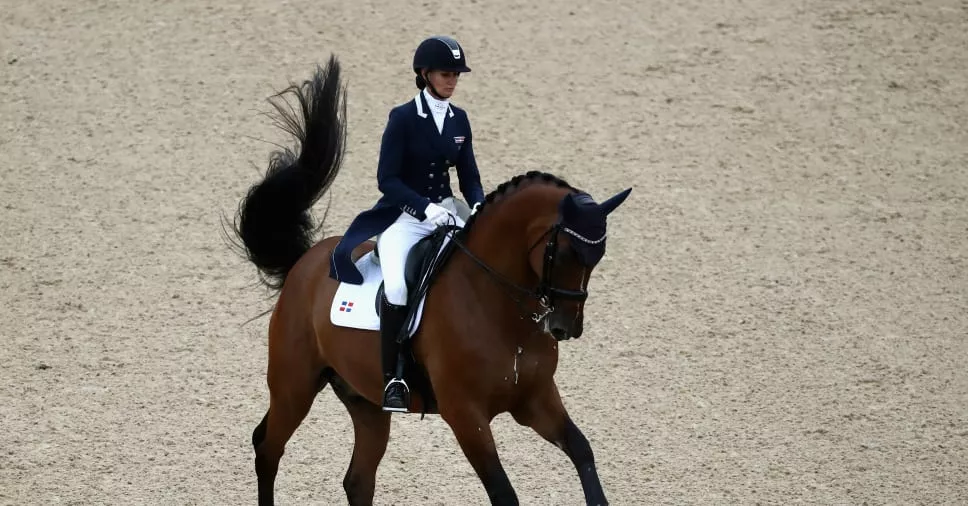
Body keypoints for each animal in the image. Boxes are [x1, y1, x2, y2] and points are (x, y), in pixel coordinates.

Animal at [231, 53, 632, 504]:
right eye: (563, 252)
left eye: (598, 257)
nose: (565, 327)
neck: (499, 310)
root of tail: (305, 262)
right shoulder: (466, 414)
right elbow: (503, 492)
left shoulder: (536, 399)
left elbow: (582, 450)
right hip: (294, 383)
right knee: (267, 446)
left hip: (366, 402)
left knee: (357, 478)